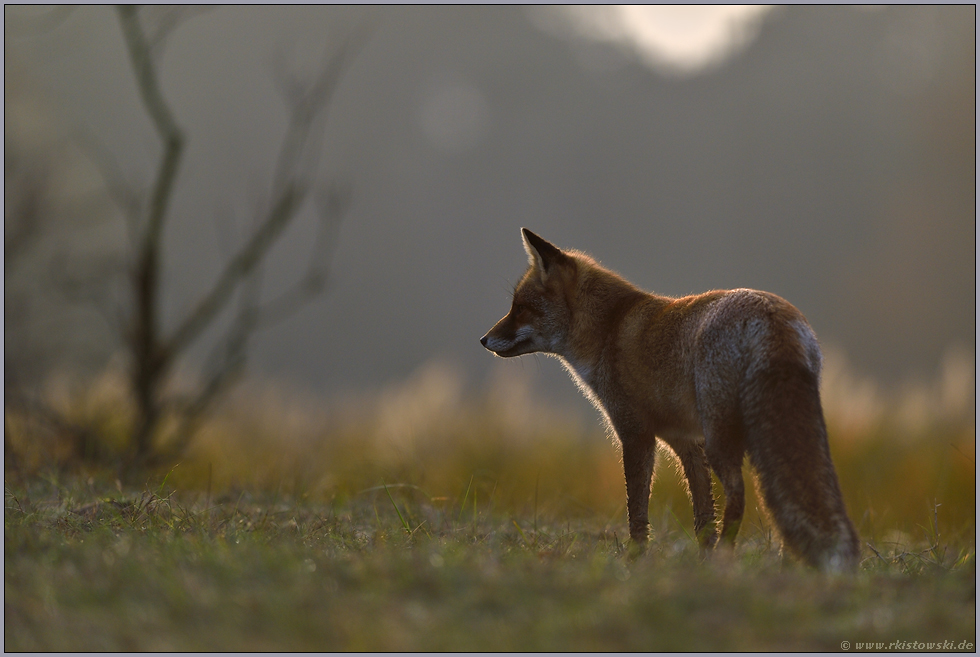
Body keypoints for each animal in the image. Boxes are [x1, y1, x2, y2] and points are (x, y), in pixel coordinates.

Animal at [480, 229, 856, 568]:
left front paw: (636, 561)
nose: (484, 339)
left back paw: (729, 554)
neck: (607, 330)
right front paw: (701, 560)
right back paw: (779, 565)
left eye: (521, 308)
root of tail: (772, 314)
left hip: (722, 439)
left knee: (739, 497)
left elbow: (637, 512)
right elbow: (702, 516)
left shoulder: (635, 434)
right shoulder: (686, 442)